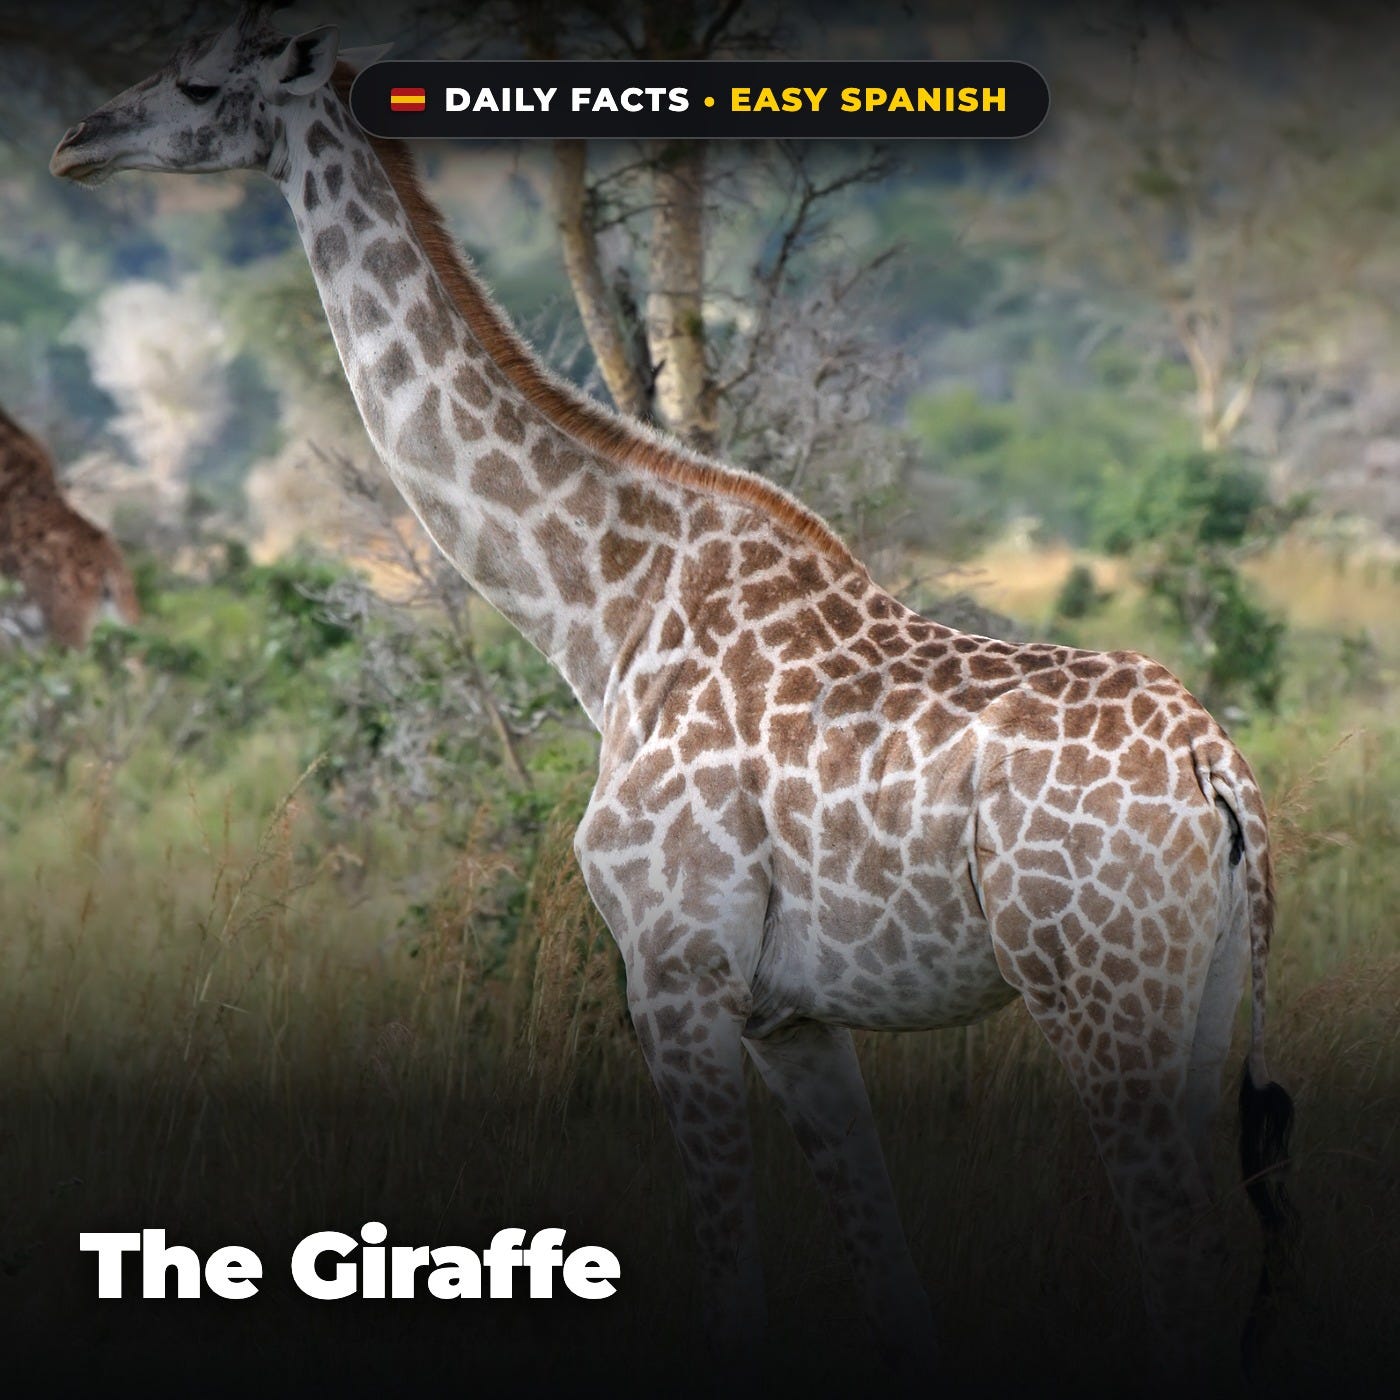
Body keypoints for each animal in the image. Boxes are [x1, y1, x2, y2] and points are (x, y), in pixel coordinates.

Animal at [50, 9, 1296, 1372]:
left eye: (195, 82)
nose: (75, 140)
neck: (603, 618)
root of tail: (1216, 772)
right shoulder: (790, 1015)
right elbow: (889, 1277)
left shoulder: (674, 969)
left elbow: (730, 1286)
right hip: (1197, 992)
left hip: (1096, 990)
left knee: (1180, 1251)